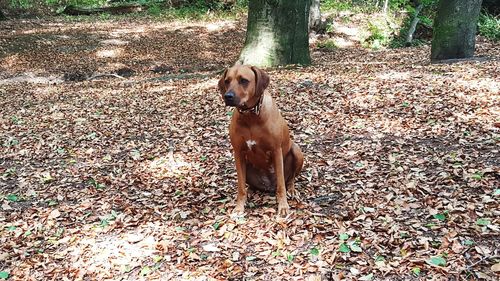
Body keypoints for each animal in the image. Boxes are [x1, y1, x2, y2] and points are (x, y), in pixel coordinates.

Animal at [218, 65, 302, 214]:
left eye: (243, 80)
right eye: (227, 81)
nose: (228, 96)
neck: (251, 116)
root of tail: (268, 186)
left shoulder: (276, 150)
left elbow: (281, 185)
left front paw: (283, 206)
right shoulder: (238, 153)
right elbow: (240, 186)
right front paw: (239, 207)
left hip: (297, 151)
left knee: (290, 179)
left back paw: (291, 190)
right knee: (248, 184)